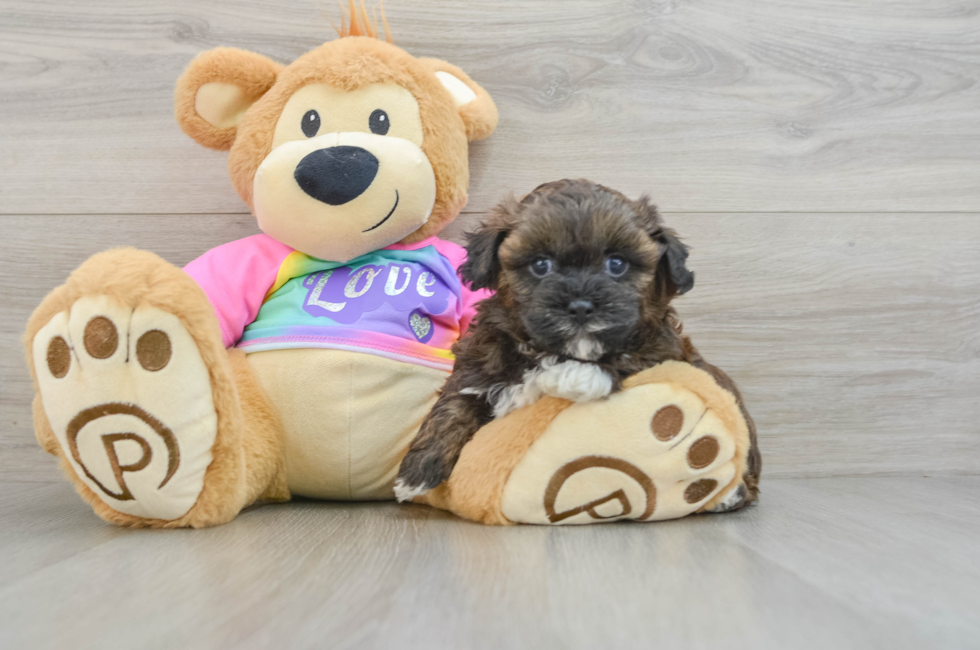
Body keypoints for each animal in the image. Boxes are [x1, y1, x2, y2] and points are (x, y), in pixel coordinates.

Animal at [394, 177, 760, 506]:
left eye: (617, 263)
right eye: (540, 264)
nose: (581, 306)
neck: (547, 349)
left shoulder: (666, 349)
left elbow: (628, 355)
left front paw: (574, 376)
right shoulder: (478, 367)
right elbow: (453, 405)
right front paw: (416, 473)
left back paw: (730, 493)